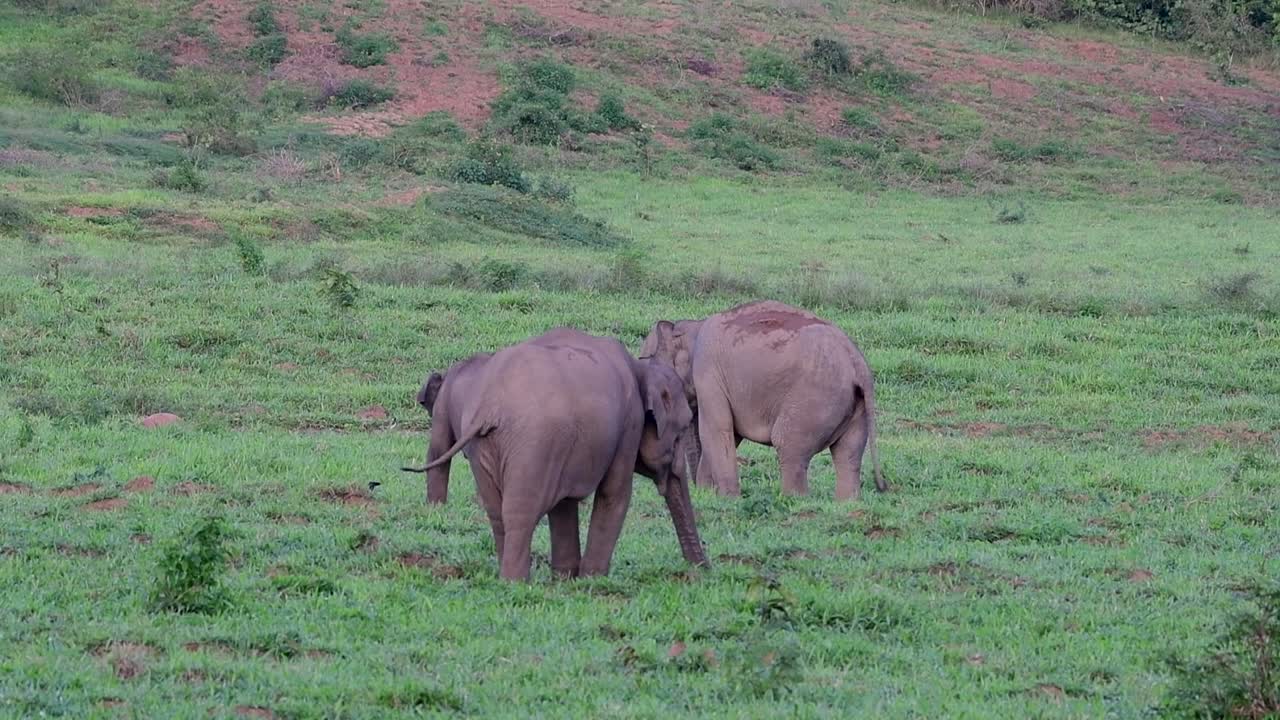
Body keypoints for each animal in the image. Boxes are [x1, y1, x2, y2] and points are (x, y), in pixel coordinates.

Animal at [403, 328, 709, 581]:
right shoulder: (629, 424)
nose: (703, 571)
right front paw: (591, 581)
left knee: (498, 511)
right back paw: (516, 582)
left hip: (489, 447)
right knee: (521, 512)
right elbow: (615, 494)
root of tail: (491, 405)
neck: (639, 366)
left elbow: (565, 504)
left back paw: (508, 577)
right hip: (535, 443)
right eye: (682, 429)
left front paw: (565, 578)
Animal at [640, 300, 887, 501]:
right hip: (854, 406)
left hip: (814, 400)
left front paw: (728, 500)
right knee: (848, 453)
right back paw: (846, 504)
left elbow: (716, 430)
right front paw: (711, 495)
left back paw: (794, 501)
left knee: (788, 445)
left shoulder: (708, 372)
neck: (693, 327)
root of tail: (857, 364)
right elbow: (728, 435)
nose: (698, 491)